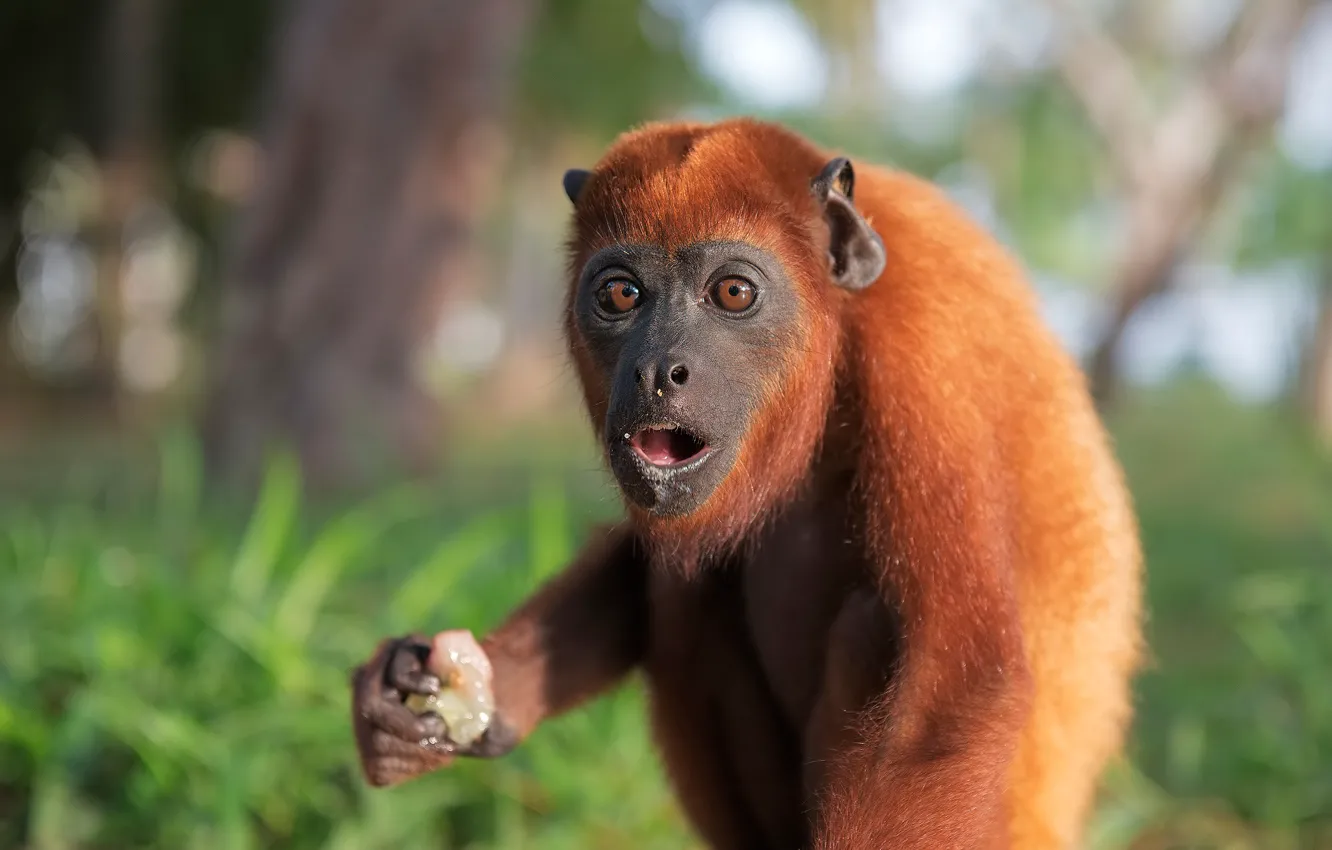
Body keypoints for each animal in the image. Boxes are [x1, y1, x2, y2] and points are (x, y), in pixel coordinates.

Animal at [351, 117, 1142, 850]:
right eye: (620, 294)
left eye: (733, 292)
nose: (656, 371)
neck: (840, 314)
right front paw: (440, 702)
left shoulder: (930, 350)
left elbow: (946, 702)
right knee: (680, 589)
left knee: (869, 625)